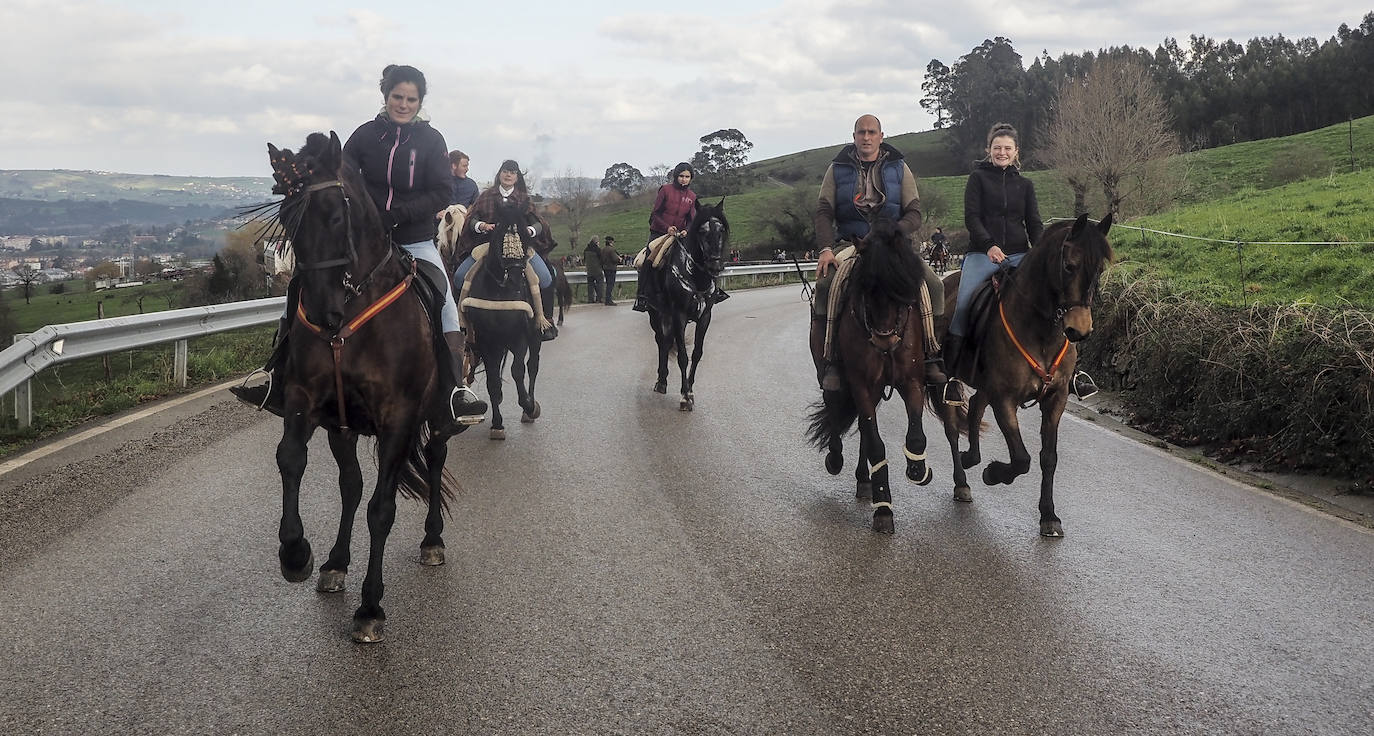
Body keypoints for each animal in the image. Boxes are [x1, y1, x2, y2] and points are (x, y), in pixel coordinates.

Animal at [259, 131, 464, 637]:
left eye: (336, 214)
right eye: (287, 222)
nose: (323, 313)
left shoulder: (398, 417)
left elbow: (381, 509)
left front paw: (371, 606)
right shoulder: (308, 401)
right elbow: (291, 459)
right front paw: (296, 553)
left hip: (436, 416)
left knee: (434, 461)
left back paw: (432, 540)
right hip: (343, 426)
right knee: (349, 484)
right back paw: (335, 562)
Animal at [464, 201, 544, 439]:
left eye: (525, 236)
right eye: (501, 235)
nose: (518, 279)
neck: (500, 292)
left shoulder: (519, 337)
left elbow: (518, 371)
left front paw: (528, 405)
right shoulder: (486, 340)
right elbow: (492, 381)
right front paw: (497, 424)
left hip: (534, 337)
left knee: (532, 366)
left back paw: (530, 408)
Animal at [643, 197, 730, 411]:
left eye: (721, 230)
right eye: (702, 231)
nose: (715, 264)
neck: (696, 277)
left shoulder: (705, 316)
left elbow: (697, 353)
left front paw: (690, 390)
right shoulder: (679, 316)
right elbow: (683, 356)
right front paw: (684, 396)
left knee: (666, 342)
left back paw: (663, 381)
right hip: (655, 314)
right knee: (661, 341)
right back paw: (661, 381)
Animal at [802, 218, 961, 535]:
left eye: (902, 290)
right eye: (864, 288)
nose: (883, 340)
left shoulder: (911, 382)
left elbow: (916, 437)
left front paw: (918, 469)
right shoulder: (861, 384)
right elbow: (876, 443)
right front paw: (884, 508)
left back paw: (865, 479)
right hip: (834, 378)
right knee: (837, 410)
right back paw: (838, 460)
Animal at [939, 211, 1110, 535]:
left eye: (1100, 269)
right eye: (1069, 266)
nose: (1080, 330)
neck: (1041, 331)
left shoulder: (1055, 399)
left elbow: (1048, 458)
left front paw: (1049, 515)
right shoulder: (1004, 398)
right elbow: (1021, 458)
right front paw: (994, 473)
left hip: (985, 386)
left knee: (975, 408)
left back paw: (971, 458)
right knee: (953, 428)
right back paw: (961, 480)